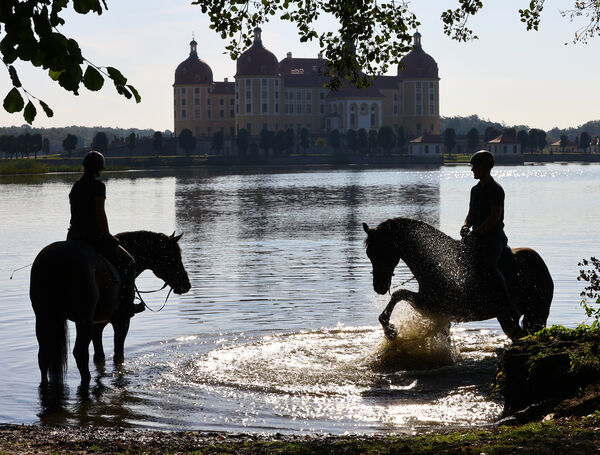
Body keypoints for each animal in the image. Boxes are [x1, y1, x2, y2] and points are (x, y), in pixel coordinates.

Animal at [29, 232, 190, 384]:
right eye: (175, 257)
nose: (186, 284)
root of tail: (55, 260)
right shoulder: (122, 321)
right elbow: (118, 355)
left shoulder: (98, 325)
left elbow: (99, 357)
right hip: (83, 321)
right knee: (79, 353)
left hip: (44, 318)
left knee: (43, 355)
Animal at [360, 218, 552, 342]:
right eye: (369, 253)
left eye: (381, 250)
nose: (379, 287)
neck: (435, 262)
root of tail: (538, 260)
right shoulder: (430, 305)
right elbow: (399, 294)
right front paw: (390, 329)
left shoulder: (431, 304)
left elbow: (399, 294)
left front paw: (390, 331)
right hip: (507, 316)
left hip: (537, 313)